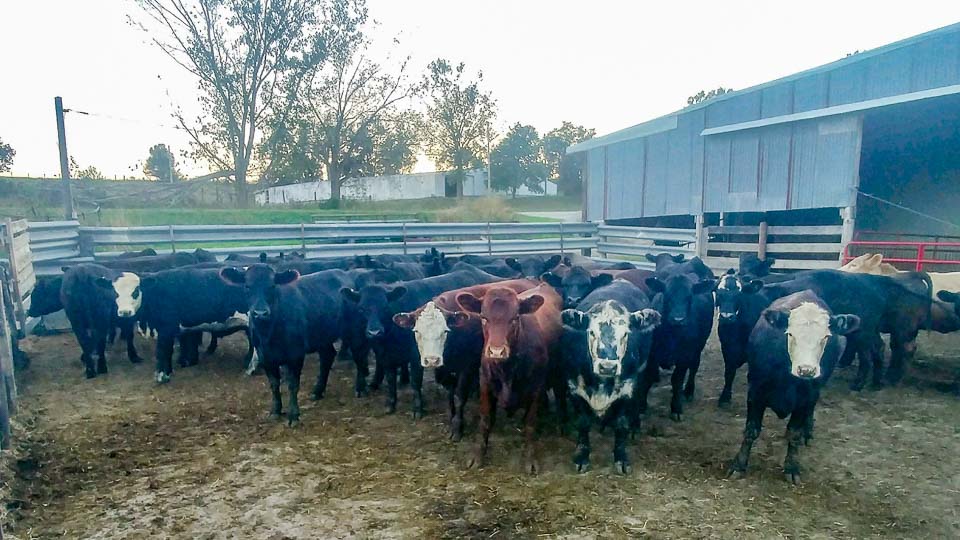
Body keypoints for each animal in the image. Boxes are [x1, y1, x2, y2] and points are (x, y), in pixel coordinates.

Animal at [341, 266, 503, 417]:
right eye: (362, 309)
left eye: (385, 307)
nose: (374, 332)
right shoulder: (385, 356)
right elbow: (391, 379)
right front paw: (390, 404)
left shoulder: (416, 357)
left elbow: (415, 382)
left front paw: (417, 408)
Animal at [392, 278, 539, 440]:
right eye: (417, 331)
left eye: (445, 331)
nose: (431, 360)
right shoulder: (446, 372)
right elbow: (450, 395)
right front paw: (451, 417)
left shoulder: (466, 368)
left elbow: (459, 396)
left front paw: (457, 427)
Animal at [457, 284, 563, 474]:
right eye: (483, 317)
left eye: (514, 318)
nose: (496, 351)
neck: (507, 371)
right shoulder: (485, 381)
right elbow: (485, 420)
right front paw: (477, 456)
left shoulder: (536, 386)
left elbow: (530, 423)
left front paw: (530, 459)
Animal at [560, 279, 661, 474]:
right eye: (591, 332)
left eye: (626, 334)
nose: (608, 367)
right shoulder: (574, 387)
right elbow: (583, 423)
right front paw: (582, 456)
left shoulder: (627, 389)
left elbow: (621, 424)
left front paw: (621, 458)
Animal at [728, 290, 860, 484]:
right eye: (790, 334)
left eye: (826, 337)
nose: (806, 370)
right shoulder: (755, 391)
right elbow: (751, 430)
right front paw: (738, 465)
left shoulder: (806, 398)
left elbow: (794, 433)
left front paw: (791, 467)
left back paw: (808, 431)